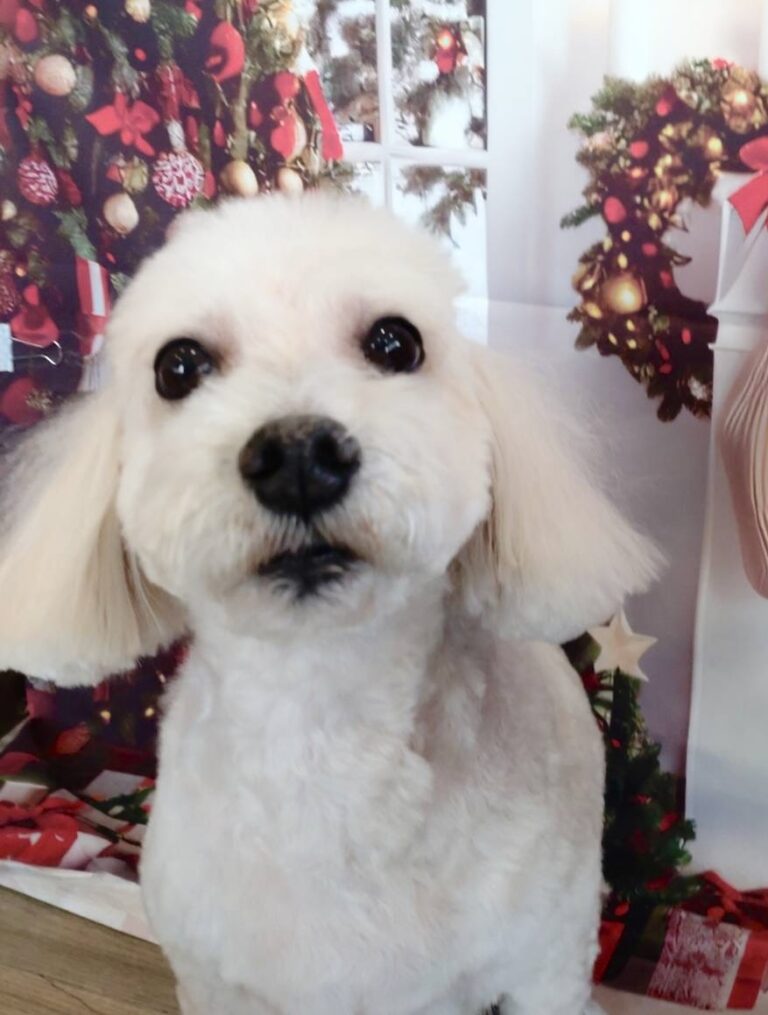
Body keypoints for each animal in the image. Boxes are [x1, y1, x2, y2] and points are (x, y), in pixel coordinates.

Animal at [0, 194, 659, 1014]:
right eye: (177, 366)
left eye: (395, 341)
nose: (297, 457)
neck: (325, 722)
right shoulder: (215, 980)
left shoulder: (543, 966)